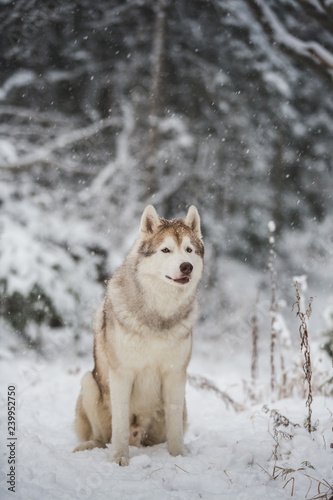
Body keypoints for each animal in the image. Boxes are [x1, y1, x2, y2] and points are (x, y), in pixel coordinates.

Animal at [74, 204, 204, 464]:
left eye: (189, 250)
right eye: (166, 250)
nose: (187, 266)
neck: (158, 316)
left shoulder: (175, 374)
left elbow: (175, 428)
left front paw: (178, 457)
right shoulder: (122, 373)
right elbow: (120, 425)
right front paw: (119, 459)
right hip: (88, 383)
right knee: (102, 437)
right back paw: (90, 446)